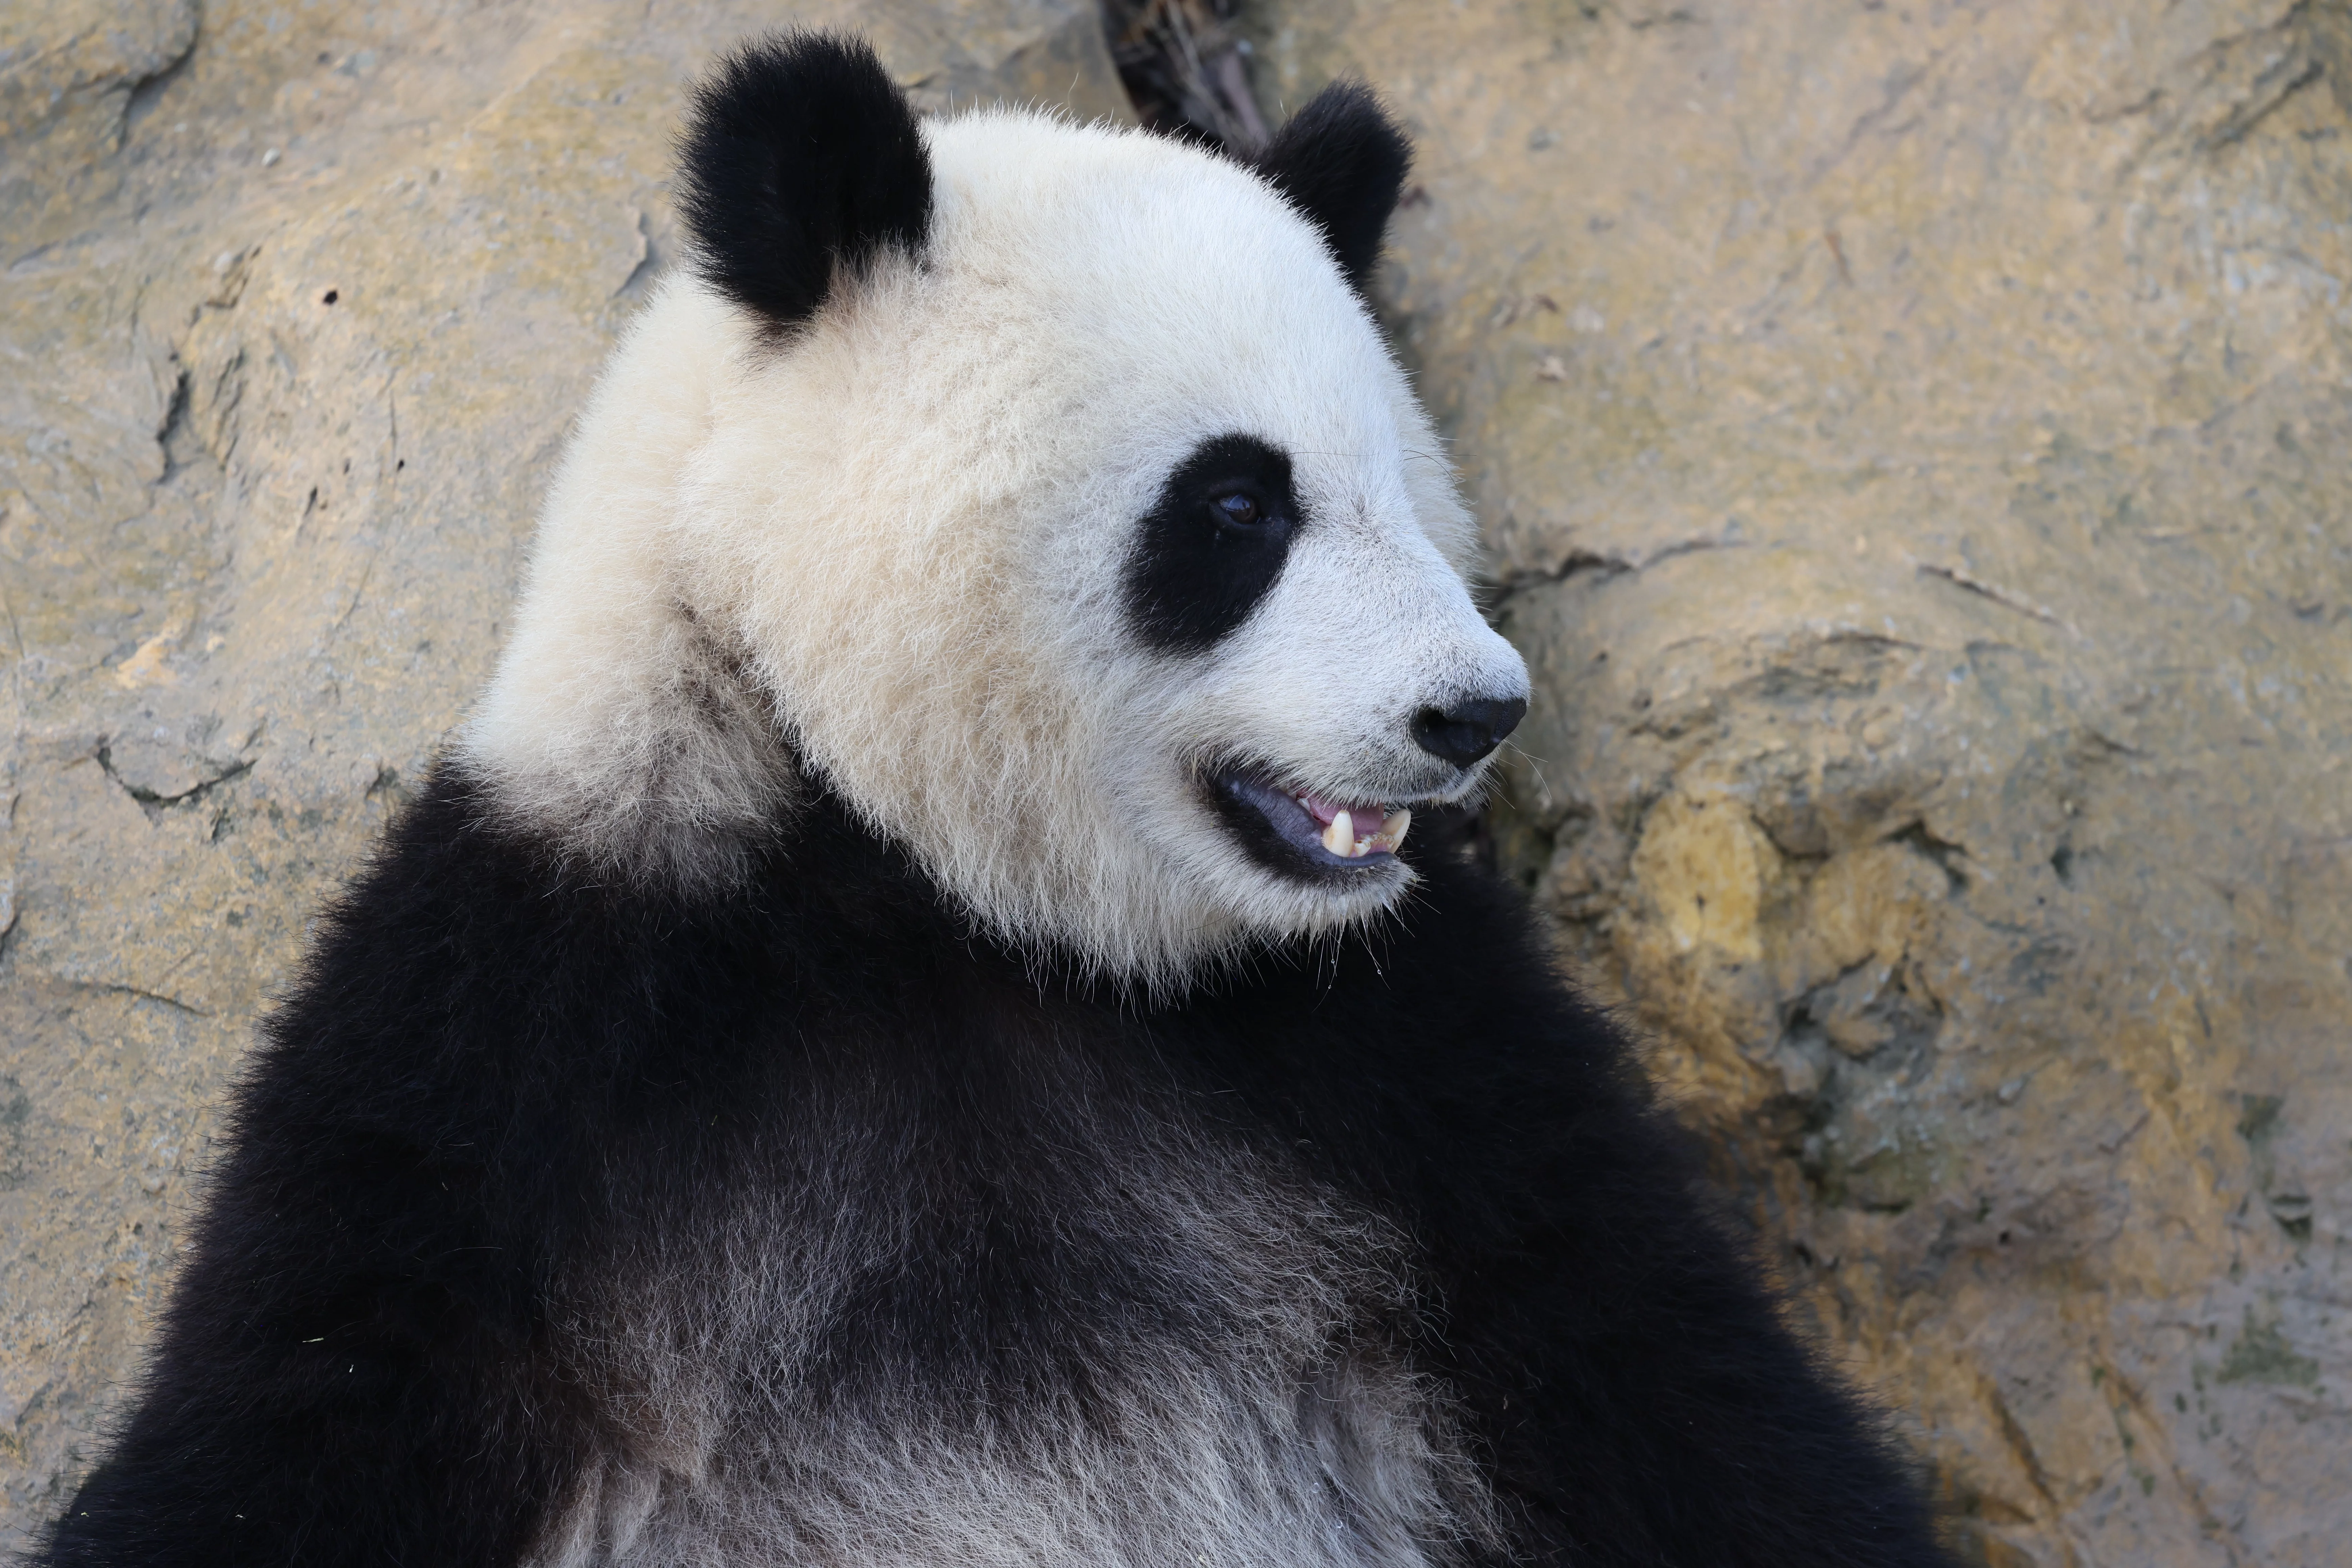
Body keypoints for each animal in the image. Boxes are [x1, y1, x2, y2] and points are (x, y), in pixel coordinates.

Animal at [38, 34, 1954, 1568]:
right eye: (1240, 507)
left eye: (1410, 494)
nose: (1474, 713)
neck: (939, 900)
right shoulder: (520, 1034)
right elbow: (302, 1413)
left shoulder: (1407, 1057)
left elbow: (1655, 1373)